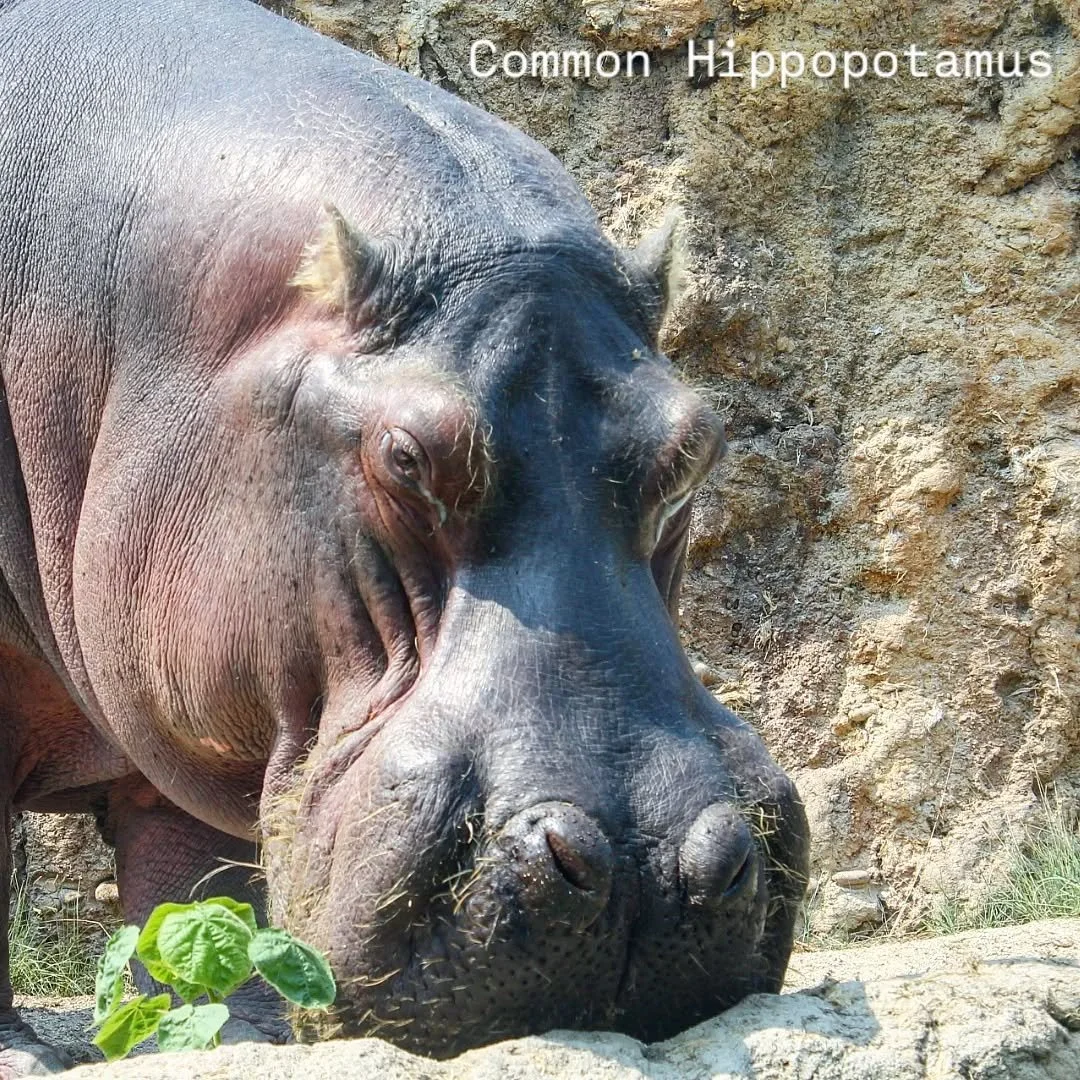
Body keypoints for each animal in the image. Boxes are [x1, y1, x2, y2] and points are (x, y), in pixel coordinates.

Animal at [0, 0, 809, 1070]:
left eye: (695, 444)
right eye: (406, 456)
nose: (647, 867)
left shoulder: (190, 711)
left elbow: (194, 887)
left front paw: (240, 1039)